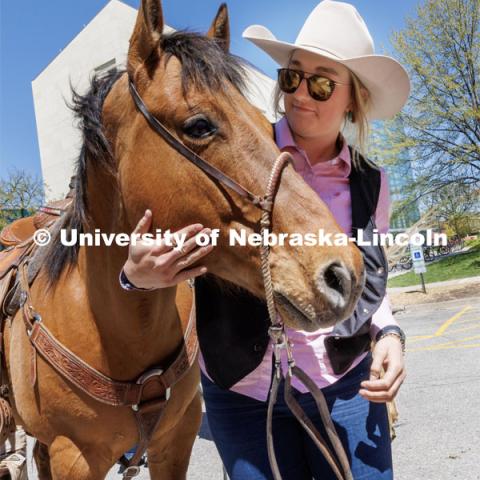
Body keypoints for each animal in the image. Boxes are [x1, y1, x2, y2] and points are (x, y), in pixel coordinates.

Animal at [1, 1, 364, 478]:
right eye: (199, 125)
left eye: (268, 128)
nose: (343, 273)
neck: (119, 328)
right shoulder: (73, 457)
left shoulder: (176, 438)